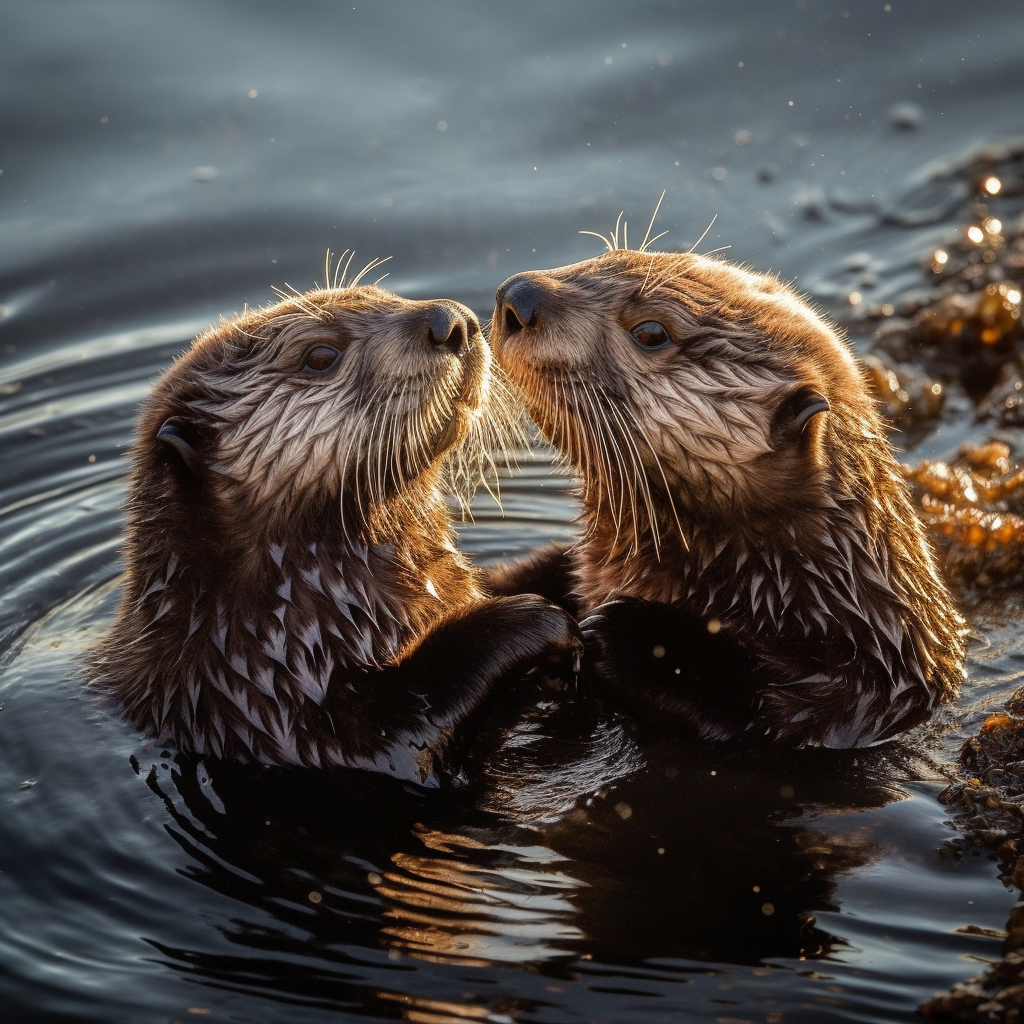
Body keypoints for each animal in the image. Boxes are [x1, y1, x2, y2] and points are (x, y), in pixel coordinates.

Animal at [92, 276, 581, 778]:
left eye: (386, 297)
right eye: (320, 356)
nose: (452, 320)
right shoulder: (270, 719)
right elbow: (408, 730)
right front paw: (533, 619)